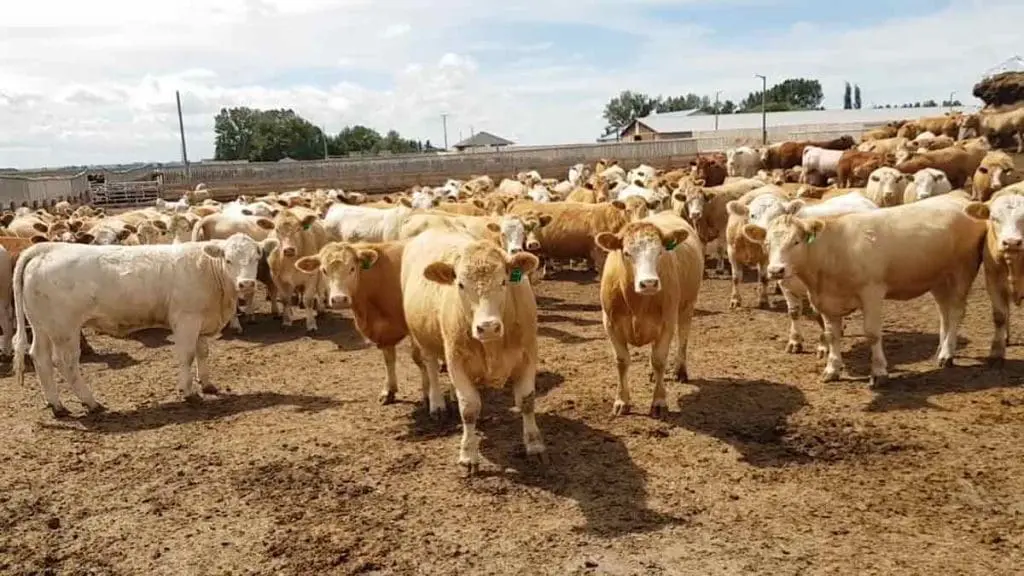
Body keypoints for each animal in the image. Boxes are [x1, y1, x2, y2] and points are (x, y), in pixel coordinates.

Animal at [12, 234, 270, 417]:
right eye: (228, 259)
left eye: (256, 258)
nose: (246, 284)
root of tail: (47, 248)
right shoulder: (186, 319)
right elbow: (187, 355)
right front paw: (189, 392)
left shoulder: (201, 320)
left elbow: (202, 352)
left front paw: (207, 385)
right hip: (65, 329)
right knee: (66, 363)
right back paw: (91, 403)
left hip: (42, 327)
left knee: (40, 358)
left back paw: (57, 406)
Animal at [401, 227, 545, 474]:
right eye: (460, 284)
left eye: (504, 281)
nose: (487, 327)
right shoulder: (456, 360)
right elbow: (469, 408)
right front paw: (468, 455)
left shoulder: (528, 355)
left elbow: (527, 400)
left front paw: (534, 445)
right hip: (424, 339)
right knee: (431, 367)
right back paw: (437, 404)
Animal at [594, 212, 703, 417]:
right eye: (627, 253)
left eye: (660, 252)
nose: (649, 283)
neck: (637, 303)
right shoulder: (610, 324)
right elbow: (622, 361)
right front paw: (622, 401)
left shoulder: (667, 323)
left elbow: (659, 360)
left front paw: (659, 402)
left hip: (687, 306)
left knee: (683, 338)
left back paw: (680, 371)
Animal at [744, 195, 986, 385]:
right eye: (767, 243)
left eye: (796, 241)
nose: (776, 270)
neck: (833, 251)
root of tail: (958, 198)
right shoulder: (827, 300)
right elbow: (831, 335)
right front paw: (832, 369)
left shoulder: (872, 293)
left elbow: (872, 333)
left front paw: (879, 372)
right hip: (938, 279)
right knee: (944, 312)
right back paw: (941, 349)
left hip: (962, 272)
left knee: (956, 312)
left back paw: (947, 354)